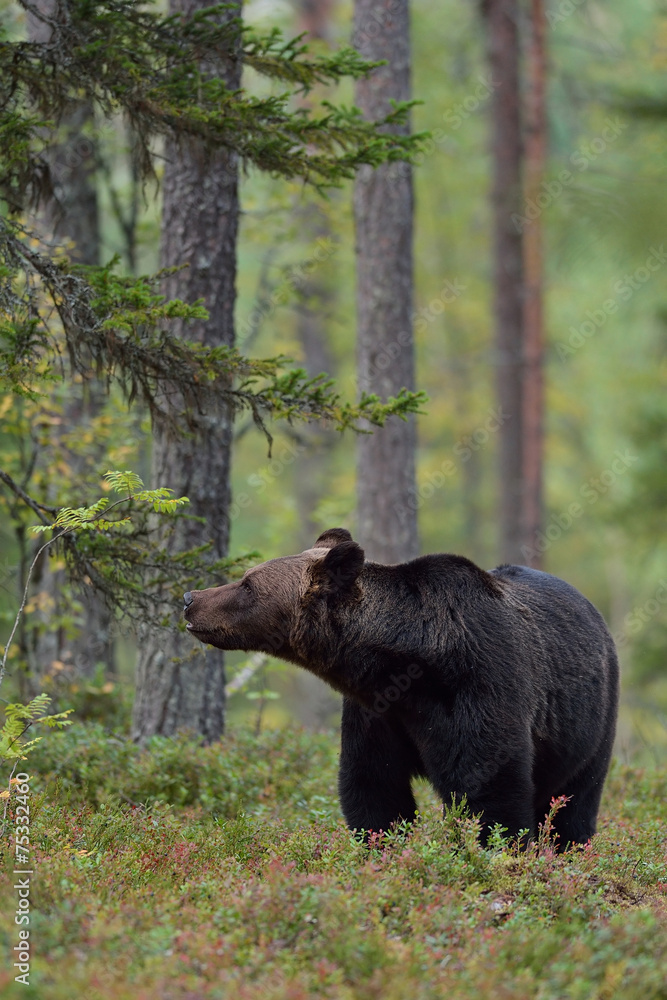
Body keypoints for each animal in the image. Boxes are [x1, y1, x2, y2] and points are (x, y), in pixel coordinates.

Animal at [183, 528, 620, 848]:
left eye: (247, 583)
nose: (190, 597)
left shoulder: (481, 684)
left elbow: (490, 787)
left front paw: (494, 850)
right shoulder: (376, 712)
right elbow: (374, 785)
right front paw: (382, 846)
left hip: (591, 721)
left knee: (575, 801)